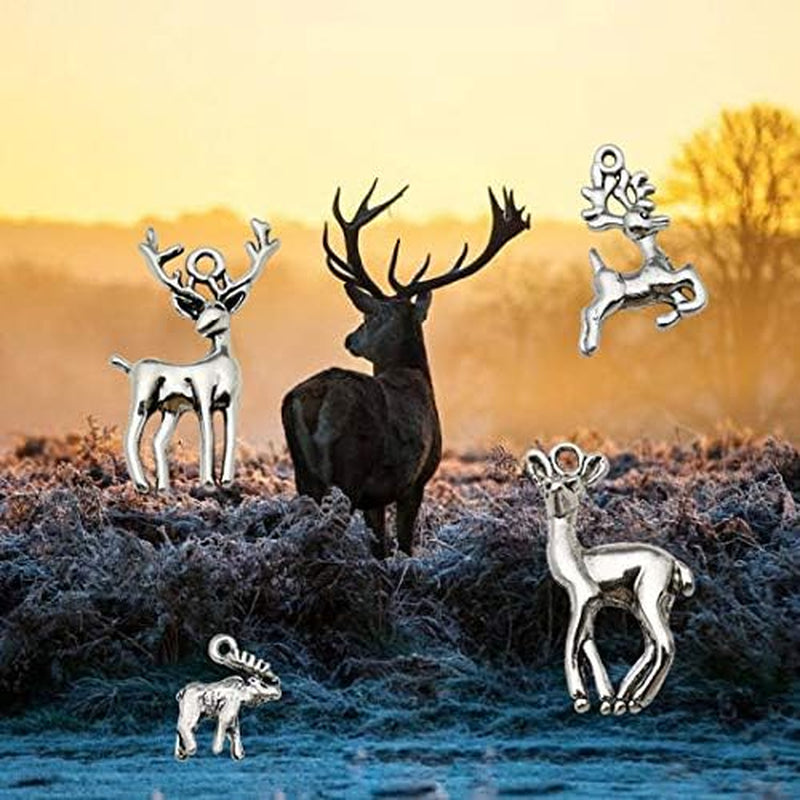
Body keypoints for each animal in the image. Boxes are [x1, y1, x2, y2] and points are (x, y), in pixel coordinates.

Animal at [110, 220, 279, 492]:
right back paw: (143, 485)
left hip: (171, 410)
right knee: (130, 437)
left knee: (157, 440)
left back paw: (163, 487)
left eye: (220, 307)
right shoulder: (203, 398)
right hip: (144, 401)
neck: (221, 364)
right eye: (199, 311)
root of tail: (131, 367)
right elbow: (208, 436)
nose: (201, 327)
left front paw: (227, 480)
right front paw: (208, 482)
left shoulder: (230, 402)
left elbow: (230, 436)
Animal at [282, 180, 529, 558]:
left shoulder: (377, 497)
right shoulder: (415, 481)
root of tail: (312, 400)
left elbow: (380, 545)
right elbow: (404, 545)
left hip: (304, 475)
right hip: (350, 470)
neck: (416, 376)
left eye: (368, 317)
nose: (350, 339)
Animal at [525, 443, 695, 716]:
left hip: (647, 600)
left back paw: (637, 701)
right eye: (546, 484)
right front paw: (605, 698)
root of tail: (675, 564)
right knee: (652, 645)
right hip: (651, 605)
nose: (556, 494)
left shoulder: (584, 597)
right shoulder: (588, 602)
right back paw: (623, 698)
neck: (578, 559)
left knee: (665, 644)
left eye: (573, 483)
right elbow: (587, 642)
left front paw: (580, 698)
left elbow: (573, 642)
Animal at [579, 144, 708, 355]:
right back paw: (589, 346)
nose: (664, 219)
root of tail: (600, 270)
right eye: (643, 215)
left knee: (586, 312)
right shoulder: (665, 280)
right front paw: (691, 306)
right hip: (612, 298)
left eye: (647, 210)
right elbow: (689, 272)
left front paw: (664, 319)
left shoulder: (667, 292)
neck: (655, 259)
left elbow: (680, 303)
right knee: (592, 313)